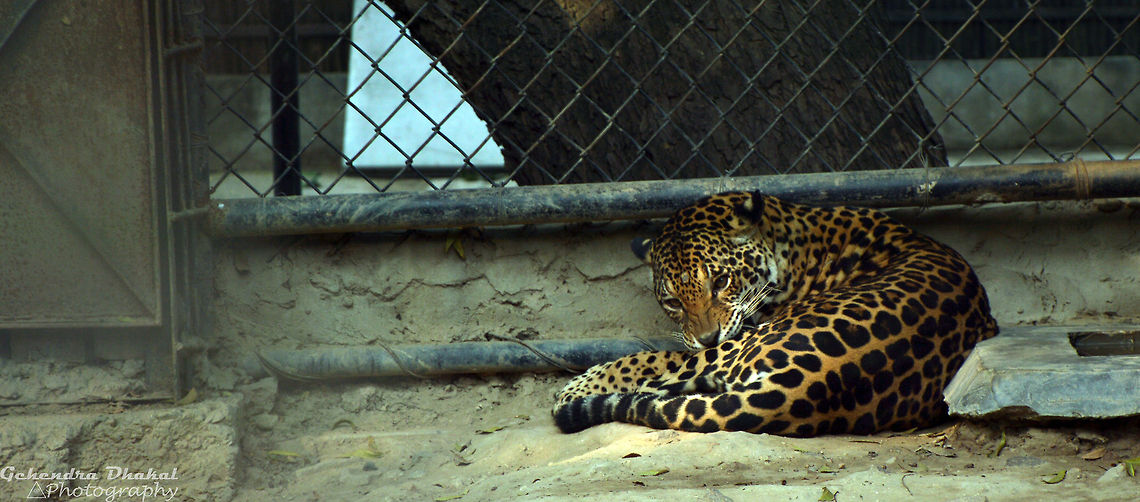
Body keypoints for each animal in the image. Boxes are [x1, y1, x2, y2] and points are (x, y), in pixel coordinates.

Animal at [553, 191, 998, 436]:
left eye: (721, 281)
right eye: (673, 302)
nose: (708, 336)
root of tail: (804, 389)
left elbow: (651, 356)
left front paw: (582, 383)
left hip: (738, 348)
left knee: (661, 371)